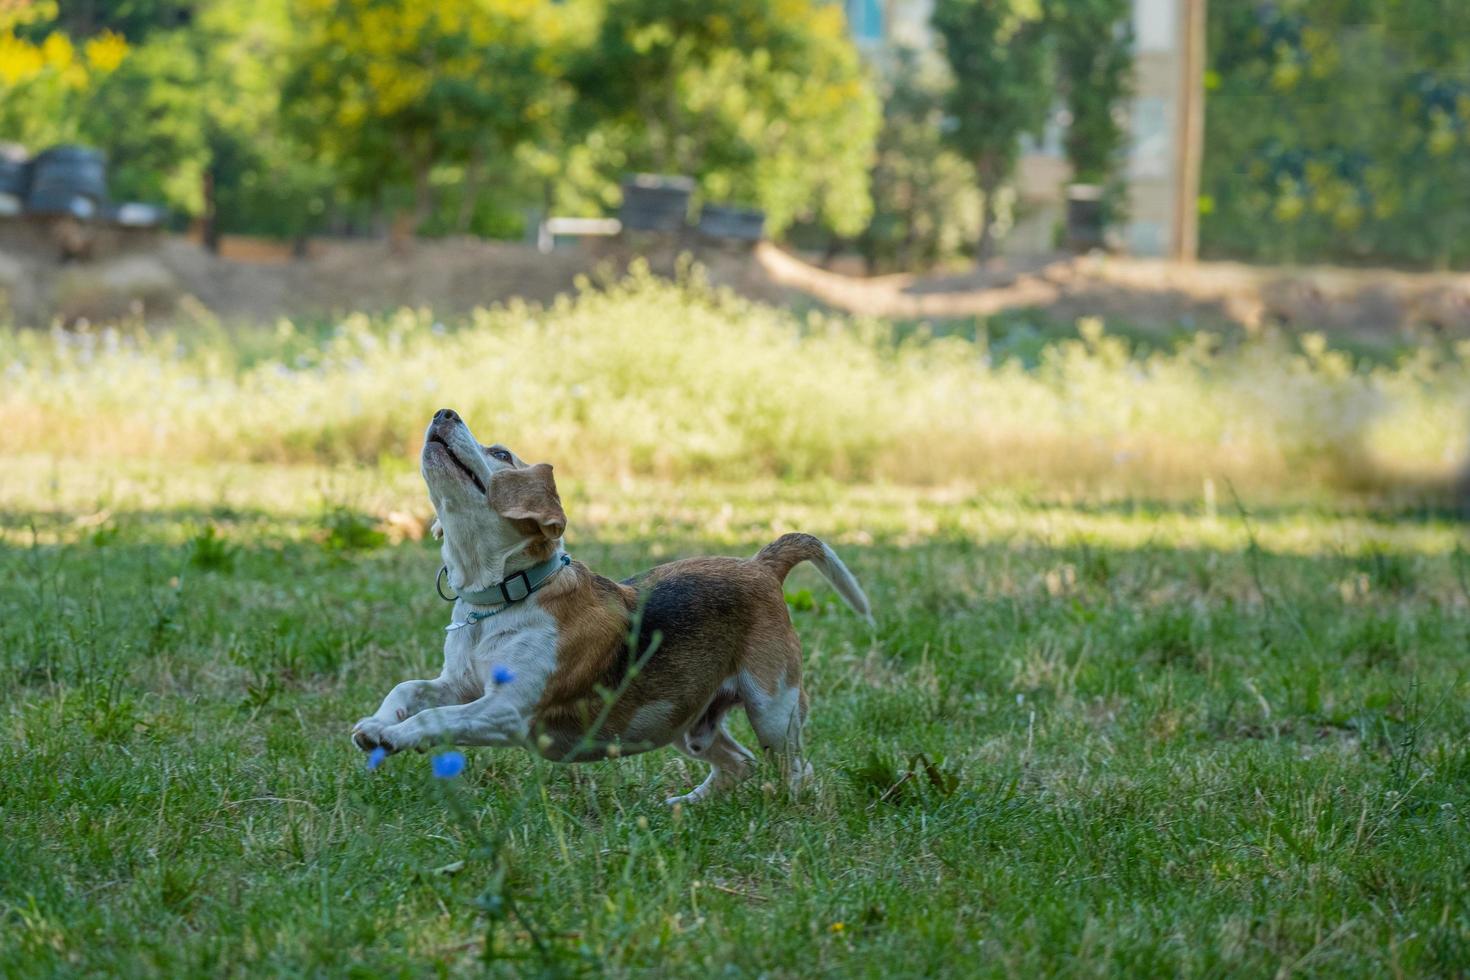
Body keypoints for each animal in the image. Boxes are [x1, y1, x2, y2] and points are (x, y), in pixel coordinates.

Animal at [348, 411, 864, 799]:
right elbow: (407, 690)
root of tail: (762, 566)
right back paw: (684, 806)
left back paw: (792, 808)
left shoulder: (505, 709)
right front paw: (375, 725)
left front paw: (396, 735)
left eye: (501, 454)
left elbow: (433, 718)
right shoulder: (458, 684)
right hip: (681, 721)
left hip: (773, 709)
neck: (507, 597)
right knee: (740, 763)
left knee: (795, 769)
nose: (444, 413)